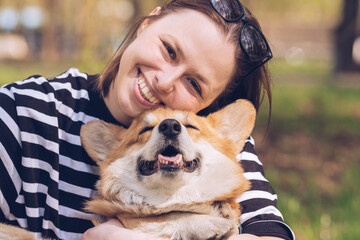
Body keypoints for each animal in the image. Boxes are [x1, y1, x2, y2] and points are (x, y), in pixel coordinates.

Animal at [81, 98, 256, 239]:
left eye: (191, 126)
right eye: (145, 129)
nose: (170, 125)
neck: (172, 196)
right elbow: (165, 216)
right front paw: (206, 223)